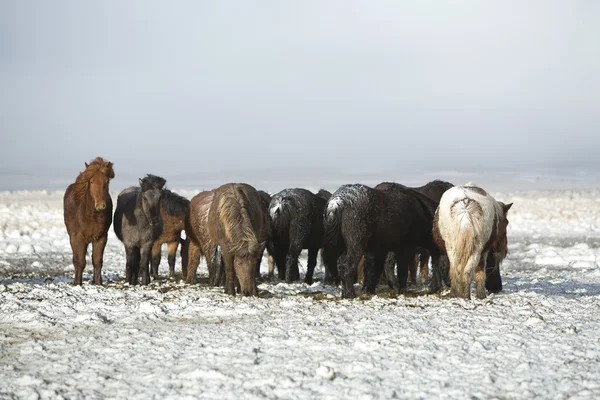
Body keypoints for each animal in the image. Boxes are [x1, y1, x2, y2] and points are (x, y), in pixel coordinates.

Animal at [62, 158, 114, 286]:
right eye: (91, 182)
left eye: (107, 182)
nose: (100, 205)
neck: (91, 215)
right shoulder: (79, 237)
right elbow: (80, 261)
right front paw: (77, 283)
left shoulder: (101, 237)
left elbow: (97, 261)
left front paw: (98, 283)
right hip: (72, 238)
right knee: (75, 259)